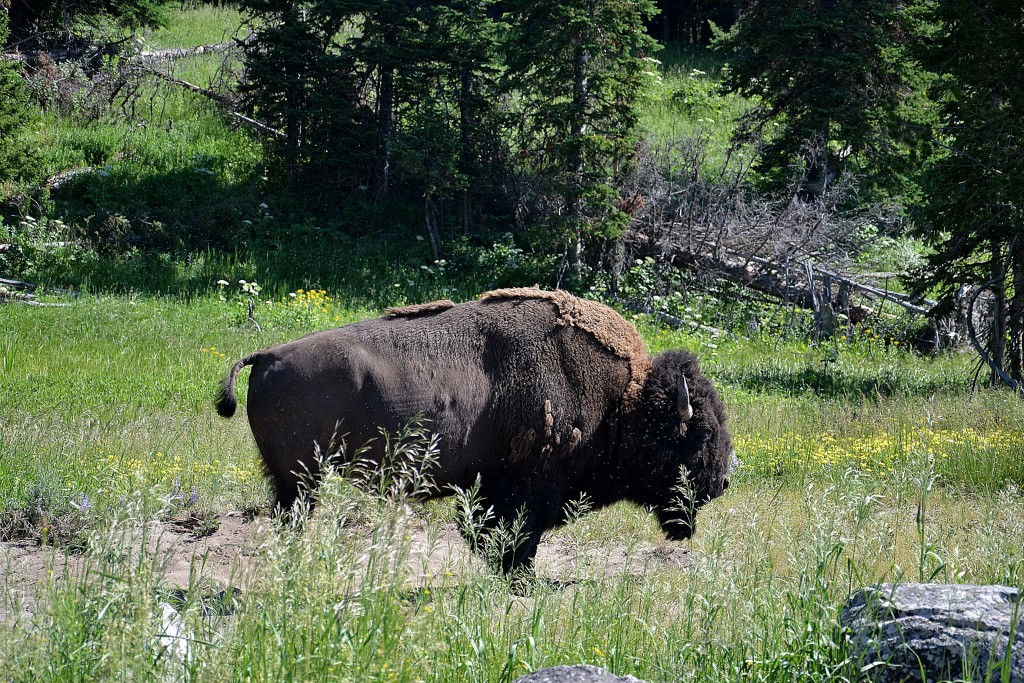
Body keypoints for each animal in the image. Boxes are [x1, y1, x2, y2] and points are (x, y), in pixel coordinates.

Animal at [216, 286, 733, 573]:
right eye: (701, 434)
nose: (725, 478)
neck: (623, 401)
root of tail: (268, 354)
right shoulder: (528, 488)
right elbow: (515, 540)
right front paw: (520, 583)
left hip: (295, 483)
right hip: (301, 481)